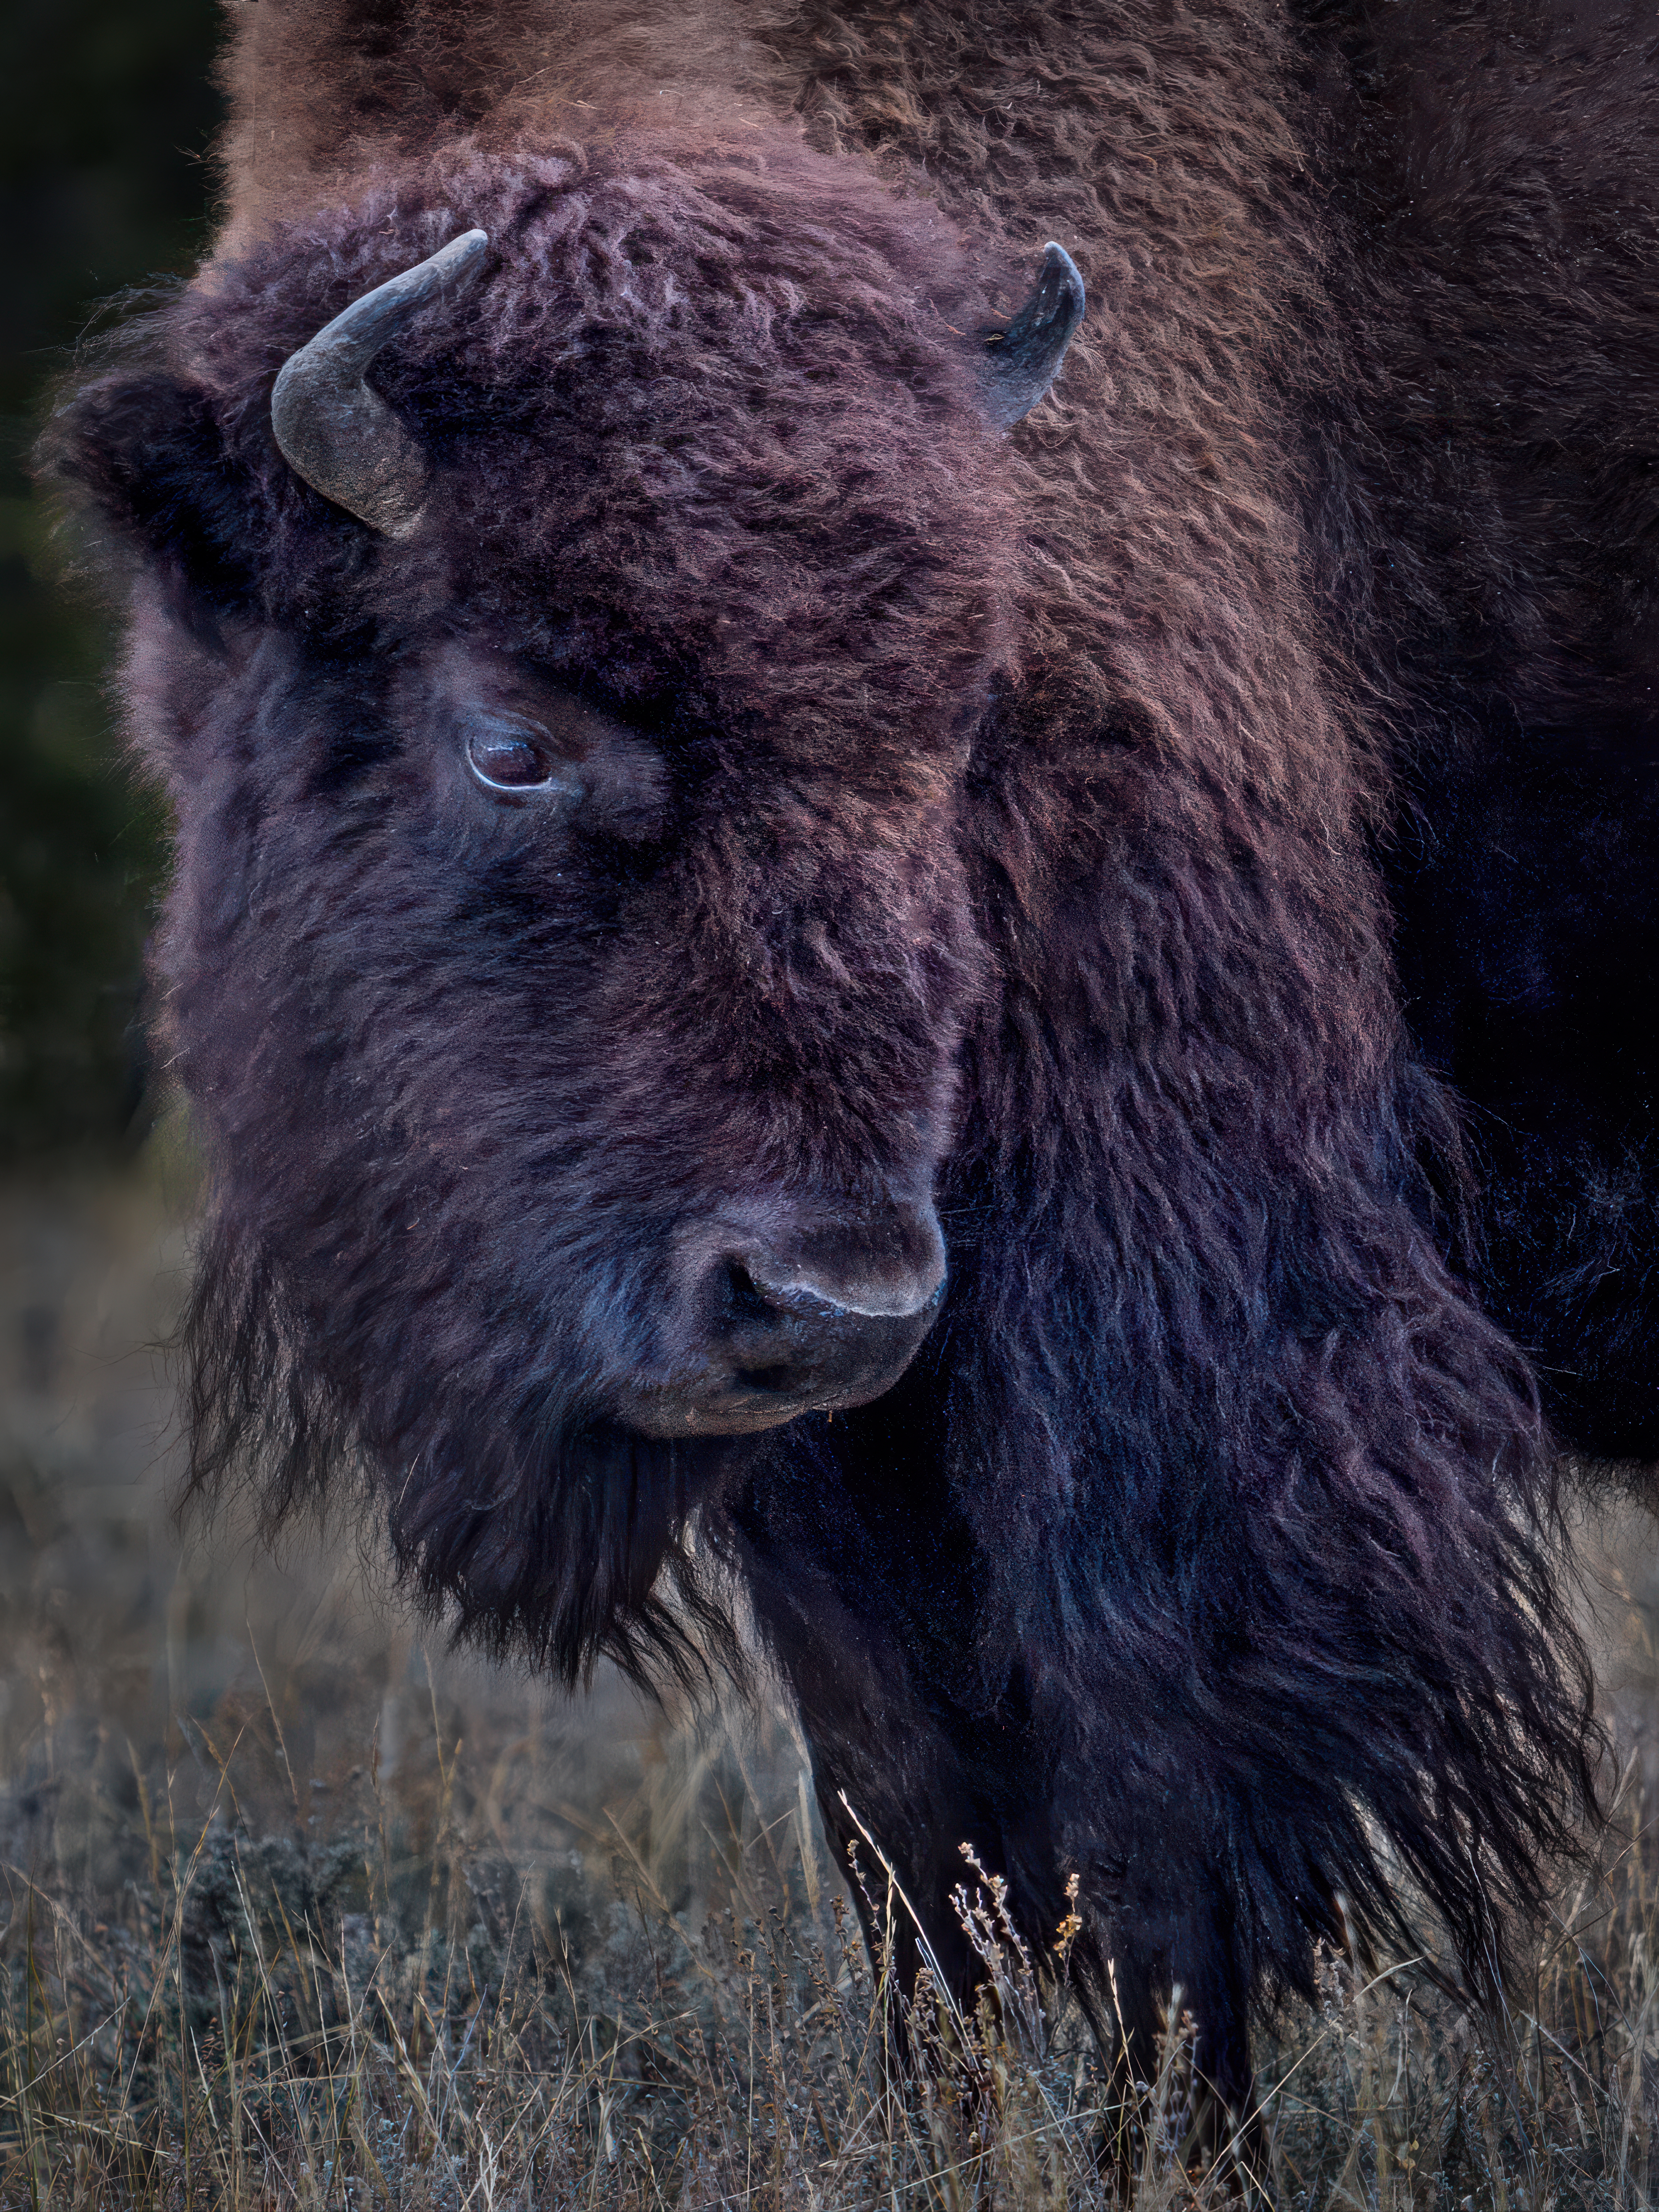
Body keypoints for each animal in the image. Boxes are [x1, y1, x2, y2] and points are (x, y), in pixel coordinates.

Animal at [48, 0, 1656, 2127]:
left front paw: (1165, 2142)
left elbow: (1163, 1809)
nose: (835, 1296)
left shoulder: (1185, 1340)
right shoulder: (828, 1462)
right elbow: (911, 1825)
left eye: (964, 714)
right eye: (509, 739)